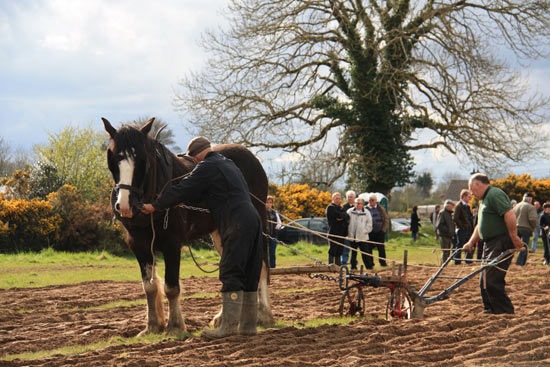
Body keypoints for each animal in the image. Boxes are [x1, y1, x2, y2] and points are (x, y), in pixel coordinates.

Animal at [102, 118, 274, 336]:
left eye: (142, 159)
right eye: (113, 158)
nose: (125, 205)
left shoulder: (172, 244)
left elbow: (171, 287)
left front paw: (175, 327)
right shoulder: (139, 245)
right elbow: (149, 287)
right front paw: (152, 326)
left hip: (257, 229)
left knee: (261, 267)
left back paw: (263, 314)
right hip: (221, 234)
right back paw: (224, 318)